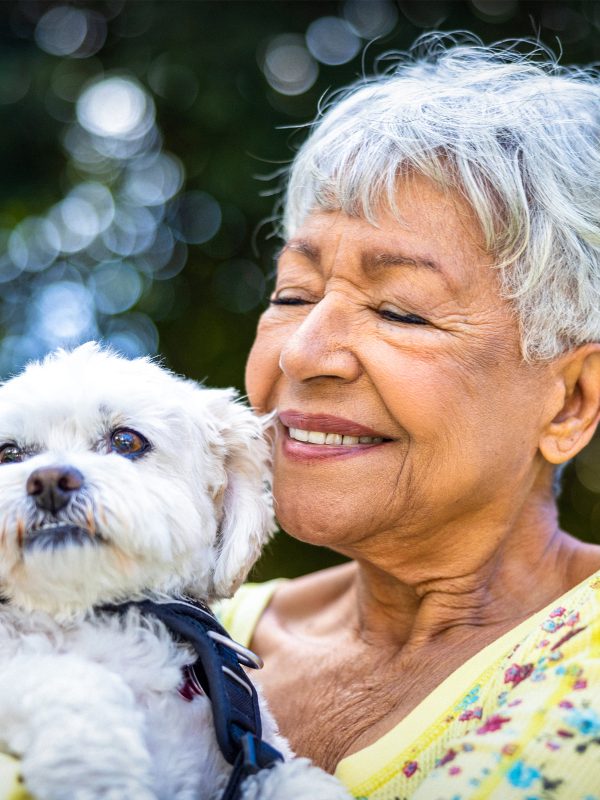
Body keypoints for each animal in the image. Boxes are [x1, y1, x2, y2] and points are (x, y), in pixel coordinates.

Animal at [0, 344, 352, 800]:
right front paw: (102, 767)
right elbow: (65, 677)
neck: (97, 611)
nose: (47, 481)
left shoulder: (254, 756)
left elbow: (296, 780)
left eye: (126, 441)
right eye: (8, 455)